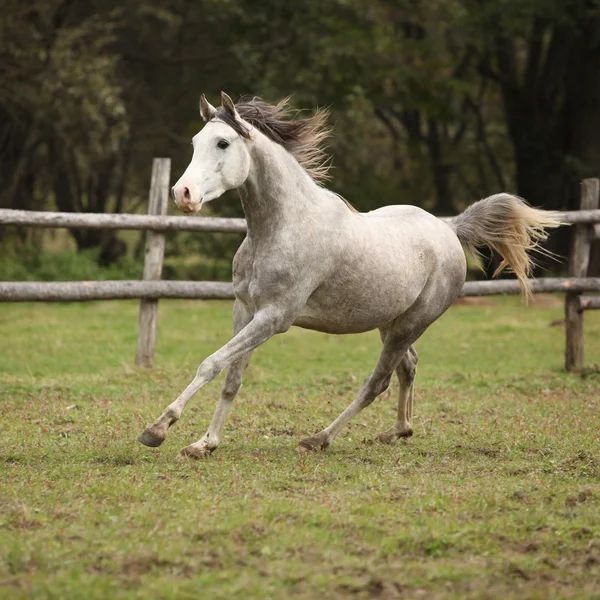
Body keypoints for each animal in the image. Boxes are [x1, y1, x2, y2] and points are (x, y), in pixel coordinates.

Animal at [138, 94, 560, 460]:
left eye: (223, 143)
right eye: (196, 142)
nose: (182, 193)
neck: (282, 226)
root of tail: (450, 228)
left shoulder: (274, 318)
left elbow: (211, 363)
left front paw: (157, 430)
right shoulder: (244, 310)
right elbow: (231, 378)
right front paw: (203, 444)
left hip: (411, 324)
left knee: (378, 382)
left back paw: (318, 439)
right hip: (391, 323)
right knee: (408, 367)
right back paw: (396, 432)